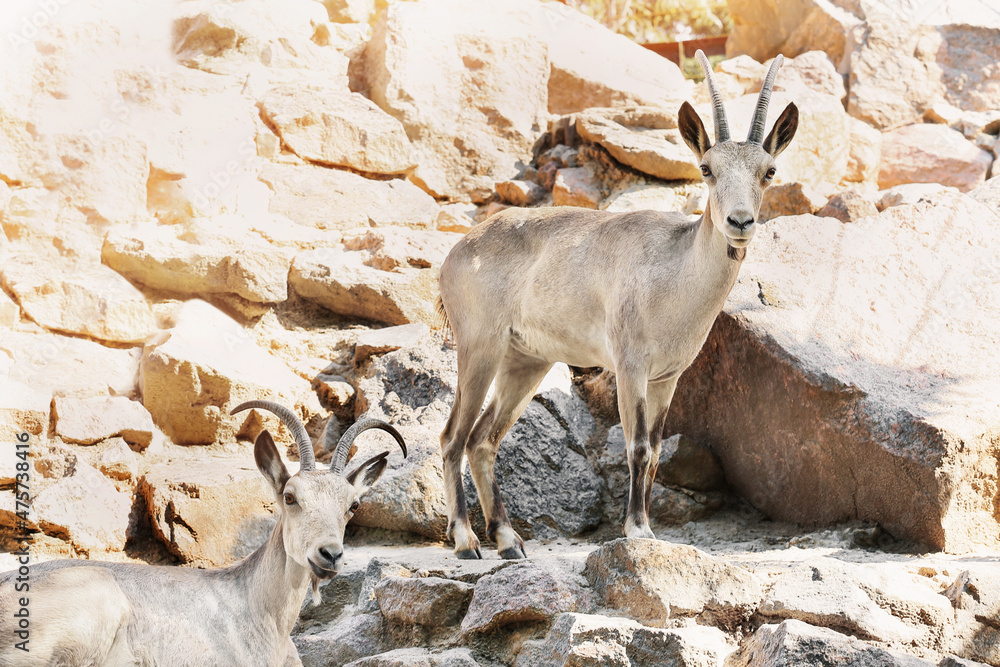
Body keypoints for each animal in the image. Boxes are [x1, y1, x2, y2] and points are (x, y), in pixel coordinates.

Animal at [438, 52, 796, 560]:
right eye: (706, 168)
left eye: (769, 171)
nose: (740, 222)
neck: (673, 274)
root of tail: (455, 254)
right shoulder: (630, 366)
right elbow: (637, 447)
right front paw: (637, 530)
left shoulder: (667, 377)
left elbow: (657, 451)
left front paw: (649, 530)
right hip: (479, 348)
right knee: (453, 436)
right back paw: (466, 541)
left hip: (524, 361)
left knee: (483, 439)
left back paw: (508, 540)